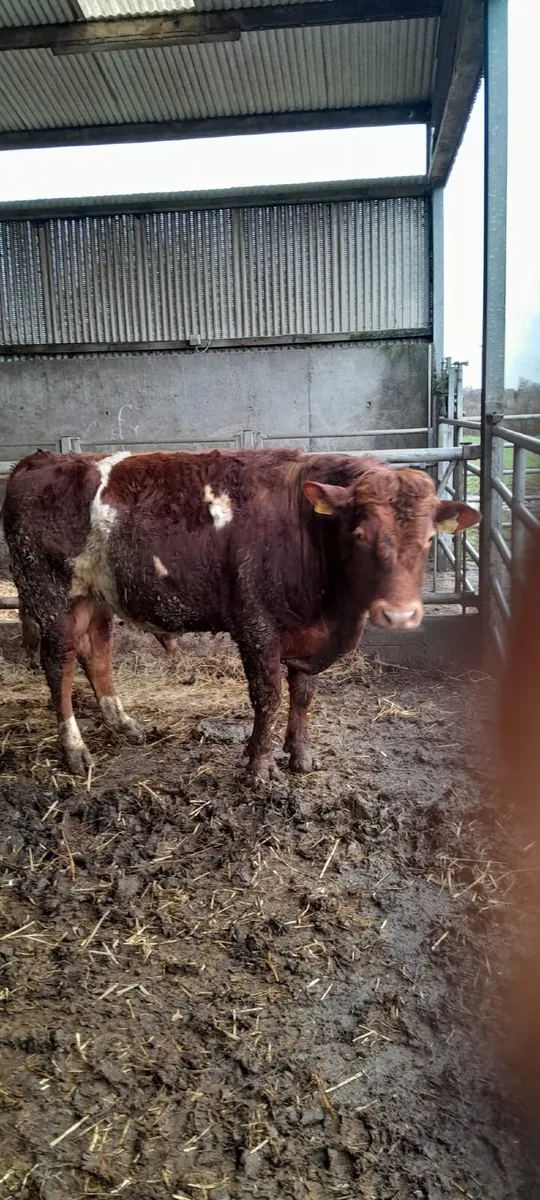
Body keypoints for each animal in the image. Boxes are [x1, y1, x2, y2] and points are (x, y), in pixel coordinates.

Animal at [3, 447, 480, 781]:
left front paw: (301, 755)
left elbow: (303, 695)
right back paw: (73, 748)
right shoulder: (255, 625)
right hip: (49, 593)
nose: (399, 616)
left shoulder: (308, 635)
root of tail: (39, 460)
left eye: (428, 538)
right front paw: (259, 766)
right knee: (59, 664)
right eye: (359, 534)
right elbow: (267, 697)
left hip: (97, 596)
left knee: (96, 652)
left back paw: (122, 723)